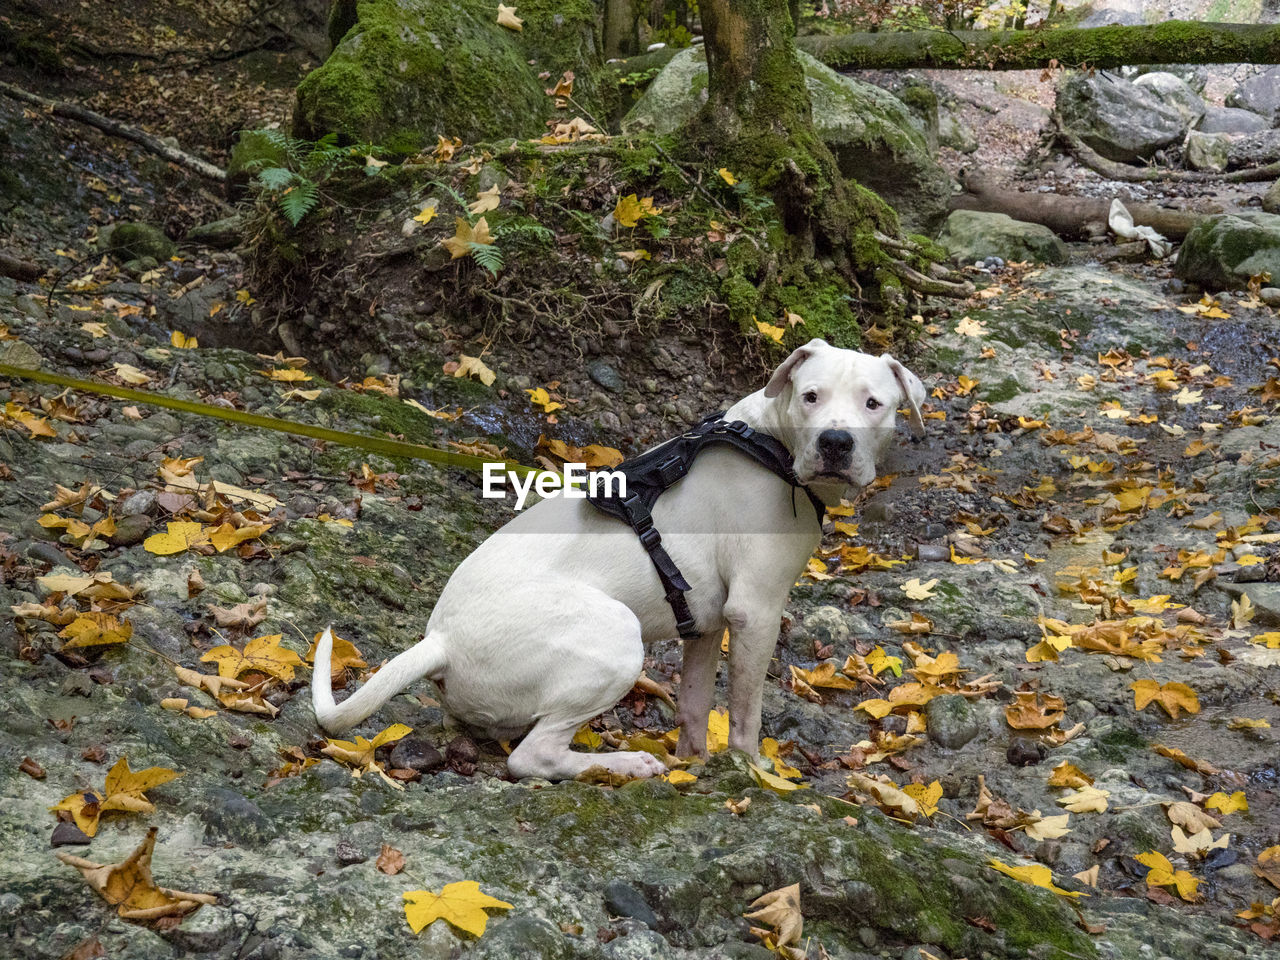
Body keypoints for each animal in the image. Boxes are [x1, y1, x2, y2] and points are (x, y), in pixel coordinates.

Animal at [314, 337, 926, 783]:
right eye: (810, 396)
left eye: (874, 404)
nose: (836, 442)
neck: (770, 444)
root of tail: (440, 641)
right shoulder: (755, 612)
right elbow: (746, 713)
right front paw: (755, 772)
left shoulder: (706, 625)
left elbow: (695, 705)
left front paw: (694, 762)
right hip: (613, 636)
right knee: (532, 757)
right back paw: (624, 763)